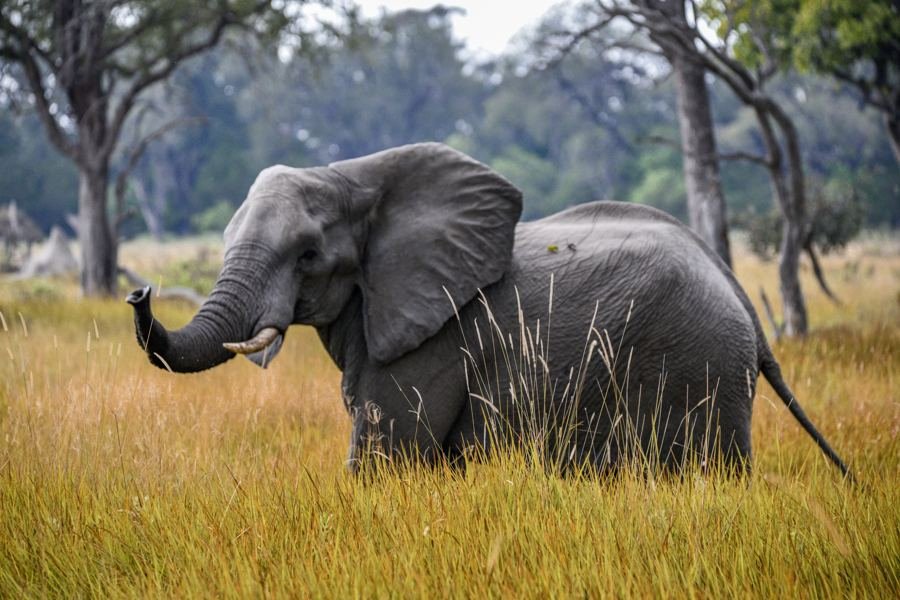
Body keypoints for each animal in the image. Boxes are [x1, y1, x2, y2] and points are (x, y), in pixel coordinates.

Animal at [127, 142, 851, 479]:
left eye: (308, 255)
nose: (139, 292)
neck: (353, 176)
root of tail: (741, 299)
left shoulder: (434, 337)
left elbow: (387, 458)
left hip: (695, 364)